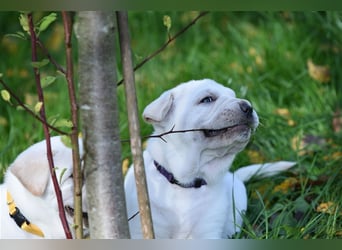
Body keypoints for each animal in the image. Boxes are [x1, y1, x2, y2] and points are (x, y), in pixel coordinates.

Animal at [124, 79, 296, 239]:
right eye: (207, 99)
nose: (248, 107)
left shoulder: (208, 230)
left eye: (233, 95)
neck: (187, 182)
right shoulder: (146, 227)